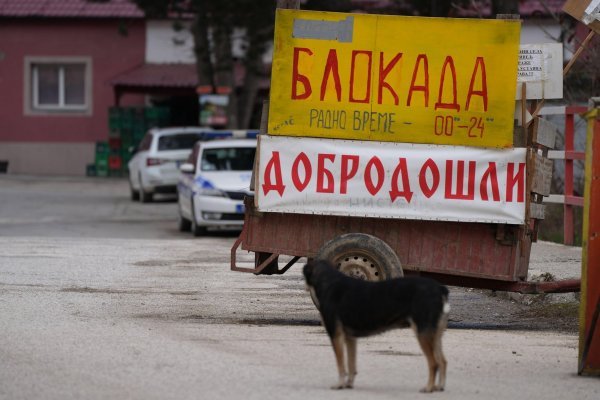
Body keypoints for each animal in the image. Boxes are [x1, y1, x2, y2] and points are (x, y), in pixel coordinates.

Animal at [304, 258, 450, 392]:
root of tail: (440, 288)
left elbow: (341, 364)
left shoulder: (335, 334)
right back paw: (439, 387)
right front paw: (348, 384)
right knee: (442, 361)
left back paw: (429, 388)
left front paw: (340, 384)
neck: (329, 281)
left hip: (423, 331)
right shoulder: (350, 338)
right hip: (435, 334)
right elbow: (351, 364)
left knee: (434, 363)